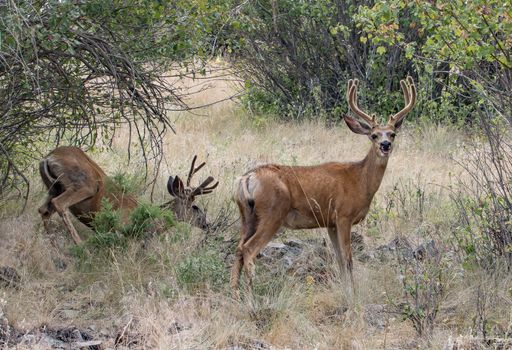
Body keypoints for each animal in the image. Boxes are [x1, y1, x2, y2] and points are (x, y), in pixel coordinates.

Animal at [38, 146, 218, 245]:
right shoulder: (120, 226)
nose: (207, 225)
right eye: (195, 207)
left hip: (54, 187)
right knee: (59, 204)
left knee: (43, 210)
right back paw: (80, 246)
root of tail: (48, 157)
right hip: (84, 185)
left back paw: (55, 246)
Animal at [232, 76, 416, 298]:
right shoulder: (343, 216)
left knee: (238, 249)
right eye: (374, 135)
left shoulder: (330, 222)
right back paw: (251, 297)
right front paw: (353, 295)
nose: (385, 145)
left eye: (392, 133)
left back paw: (234, 294)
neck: (360, 180)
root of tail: (247, 178)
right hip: (272, 213)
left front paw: (346, 291)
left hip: (247, 215)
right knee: (249, 250)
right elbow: (348, 259)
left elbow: (339, 260)